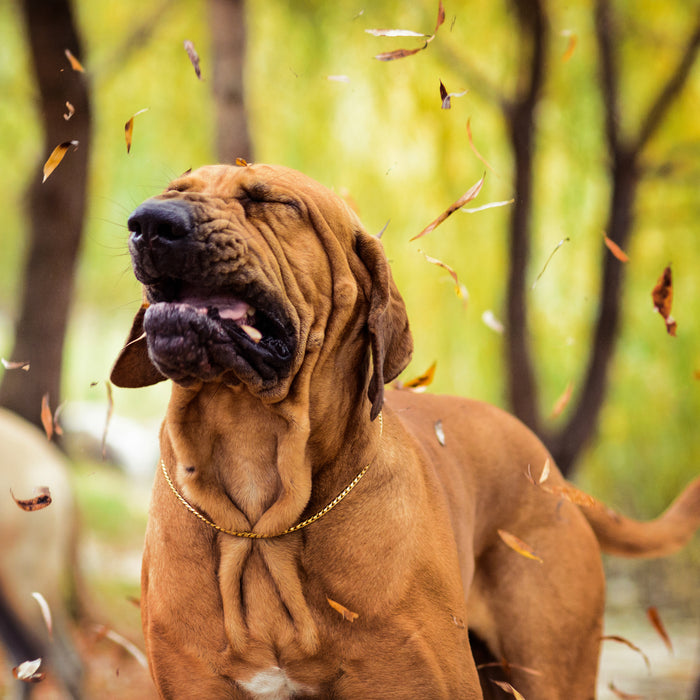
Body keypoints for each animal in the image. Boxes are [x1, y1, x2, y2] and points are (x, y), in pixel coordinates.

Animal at [110, 163, 700, 696]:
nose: (149, 222)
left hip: (550, 665)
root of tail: (551, 472)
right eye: (175, 191)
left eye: (273, 201)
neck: (262, 511)